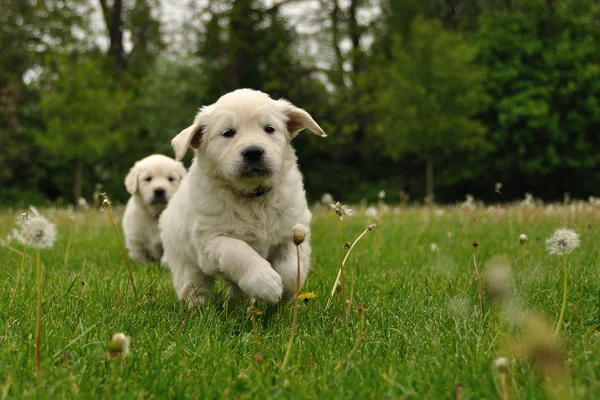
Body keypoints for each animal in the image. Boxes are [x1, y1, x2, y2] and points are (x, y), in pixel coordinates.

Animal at [159, 89, 326, 308]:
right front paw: (266, 283)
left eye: (269, 129)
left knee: (238, 290)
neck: (253, 197)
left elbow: (291, 269)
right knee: (193, 287)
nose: (253, 152)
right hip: (184, 259)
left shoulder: (291, 231)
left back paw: (235, 308)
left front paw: (283, 296)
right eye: (228, 133)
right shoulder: (212, 239)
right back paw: (198, 310)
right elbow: (239, 252)